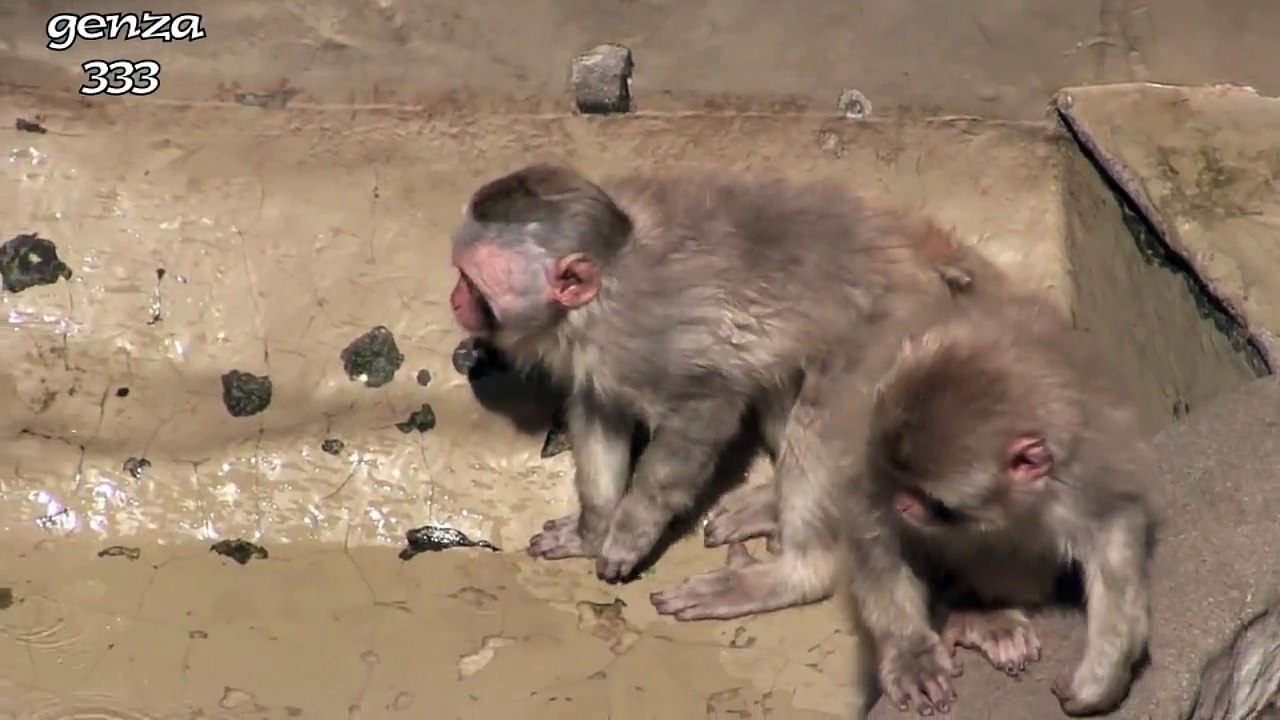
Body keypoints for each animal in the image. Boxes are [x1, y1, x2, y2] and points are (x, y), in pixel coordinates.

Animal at [448, 162, 988, 621]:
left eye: (473, 285)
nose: (455, 299)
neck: (598, 296)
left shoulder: (644, 340)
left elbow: (707, 409)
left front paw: (631, 530)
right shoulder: (599, 357)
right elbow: (601, 414)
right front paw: (593, 528)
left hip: (889, 337)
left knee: (820, 420)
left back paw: (794, 575)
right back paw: (770, 502)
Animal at [831, 288, 1156, 717]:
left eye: (937, 502)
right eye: (896, 478)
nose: (902, 504)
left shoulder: (1086, 475)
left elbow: (1114, 529)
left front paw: (1104, 669)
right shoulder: (871, 458)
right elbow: (874, 530)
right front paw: (910, 654)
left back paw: (981, 611)